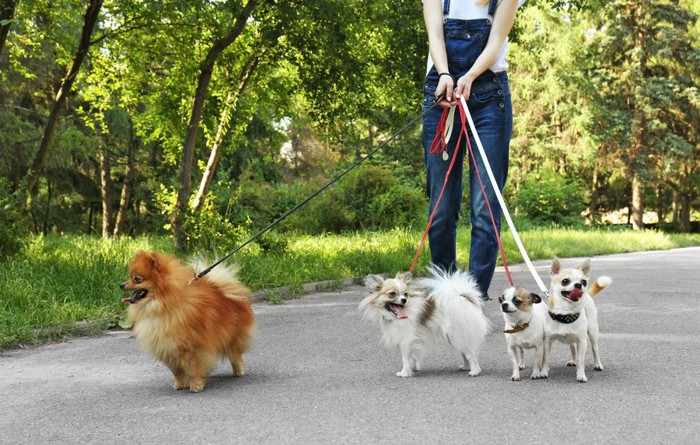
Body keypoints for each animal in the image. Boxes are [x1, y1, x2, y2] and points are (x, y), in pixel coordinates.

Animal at [119, 250, 254, 392]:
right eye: (130, 276)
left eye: (137, 279)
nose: (121, 285)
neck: (162, 306)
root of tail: (224, 289)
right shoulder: (168, 347)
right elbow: (177, 371)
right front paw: (179, 384)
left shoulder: (193, 347)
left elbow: (193, 368)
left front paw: (196, 385)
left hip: (231, 336)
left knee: (235, 354)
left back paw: (238, 371)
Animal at [360, 266, 492, 376]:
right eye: (392, 294)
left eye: (405, 294)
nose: (403, 300)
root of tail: (462, 298)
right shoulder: (411, 341)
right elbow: (412, 357)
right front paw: (412, 368)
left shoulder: (406, 341)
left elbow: (405, 359)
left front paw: (405, 373)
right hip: (456, 338)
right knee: (465, 352)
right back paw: (465, 367)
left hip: (457, 336)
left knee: (470, 354)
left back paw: (474, 371)